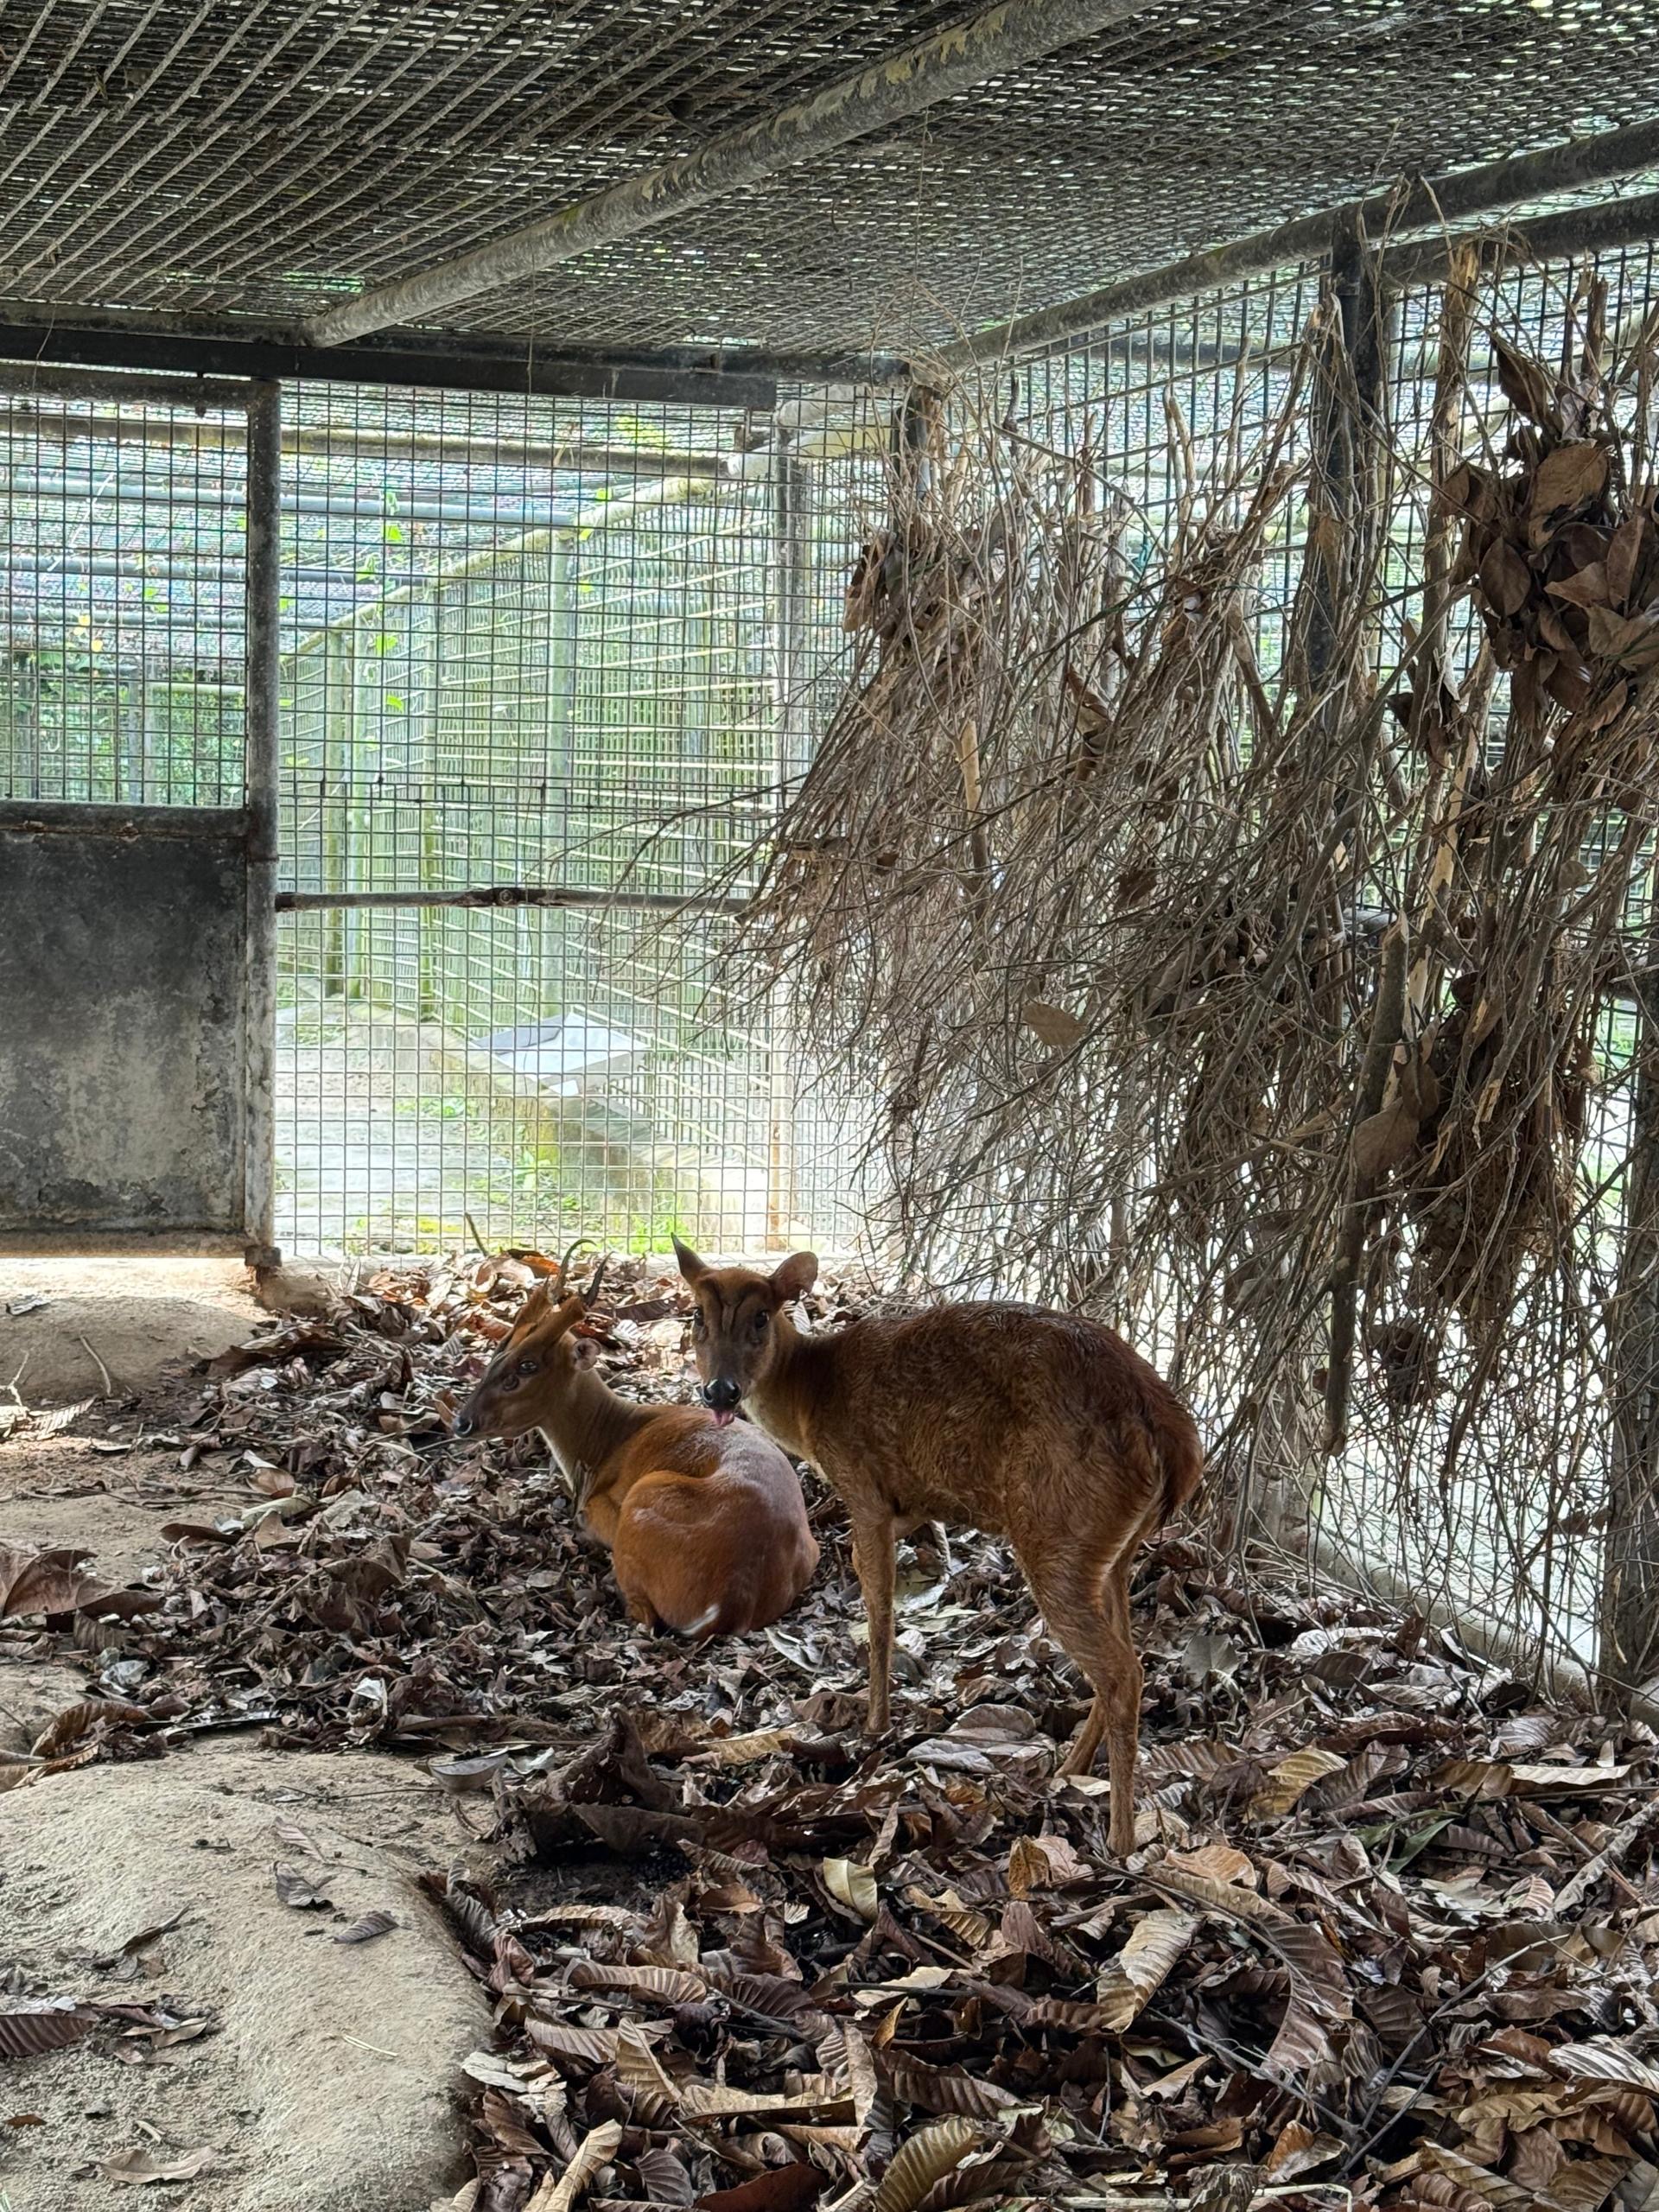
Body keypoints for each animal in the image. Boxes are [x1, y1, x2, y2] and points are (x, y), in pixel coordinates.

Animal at [451, 1262, 818, 1639]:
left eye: (527, 1365)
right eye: (496, 1354)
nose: (462, 1422)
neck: (605, 1440)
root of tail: (731, 1602)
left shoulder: (600, 1507)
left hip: (641, 1503)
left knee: (643, 1614)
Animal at [673, 1240, 1202, 1853]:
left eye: (761, 1317)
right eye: (696, 1316)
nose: (721, 1390)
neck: (809, 1400)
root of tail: (1179, 1442)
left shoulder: (863, 1485)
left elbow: (879, 1609)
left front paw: (875, 1723)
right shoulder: (909, 1503)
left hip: (1061, 1527)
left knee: (1122, 1672)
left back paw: (1119, 1838)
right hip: (1112, 1546)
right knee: (1130, 1653)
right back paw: (1070, 1769)